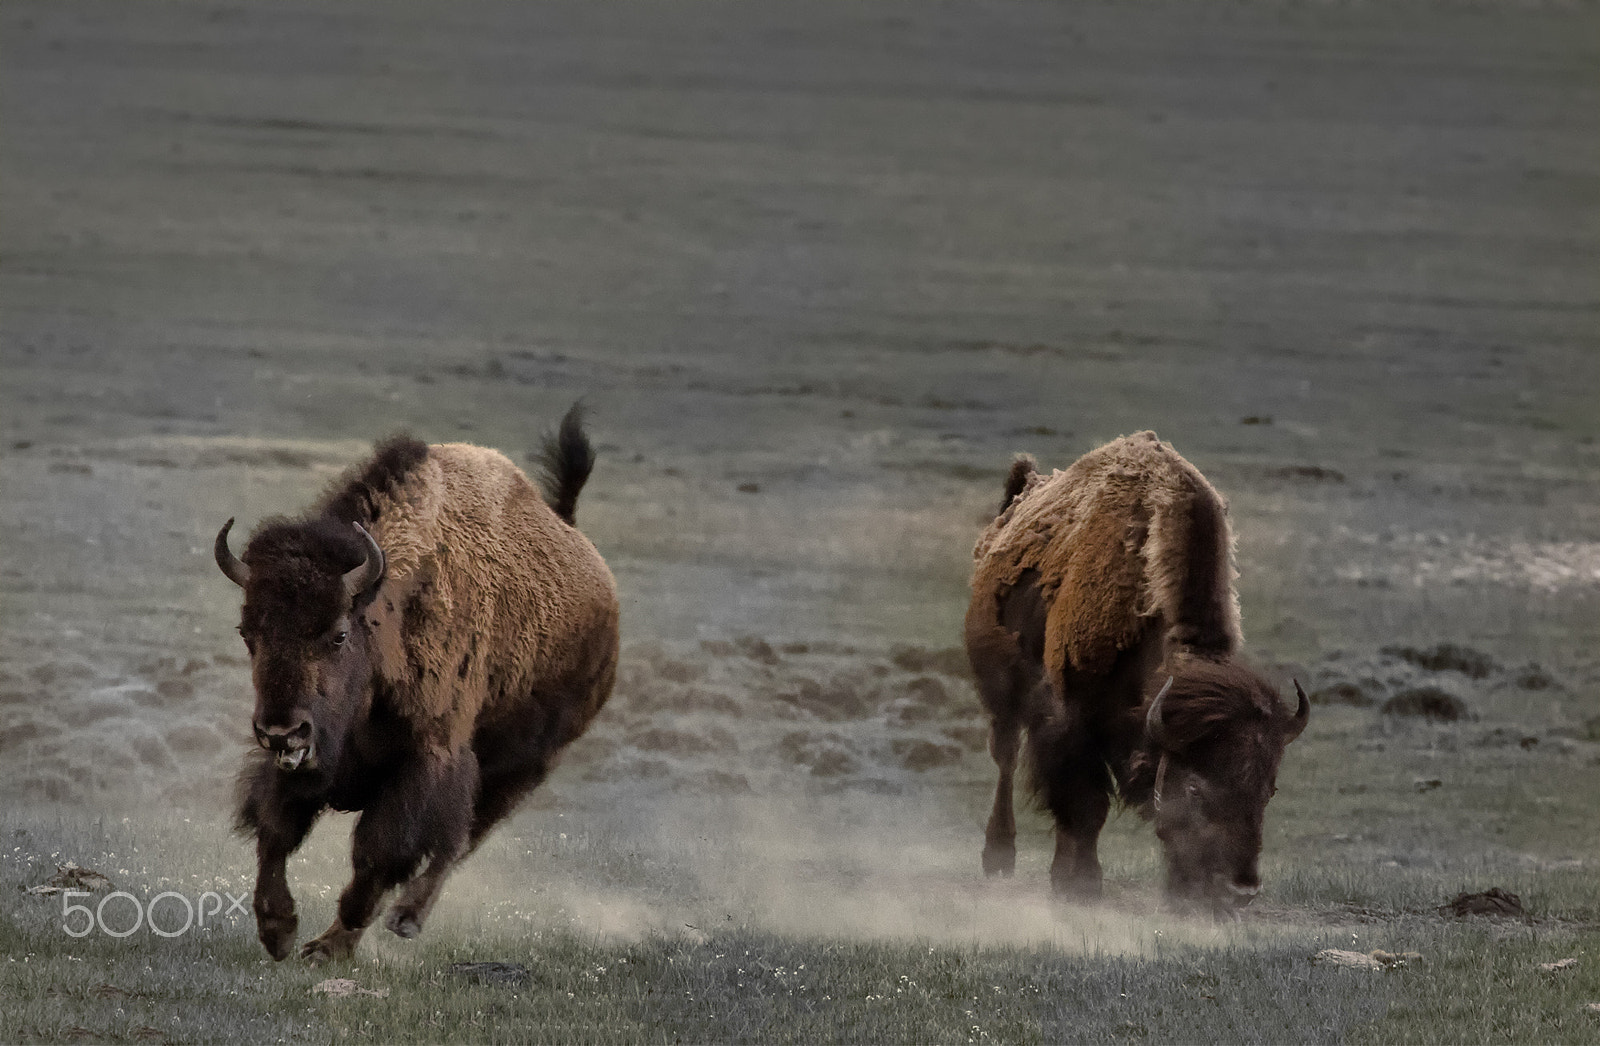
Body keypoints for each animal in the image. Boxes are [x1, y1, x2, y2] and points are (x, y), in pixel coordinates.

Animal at [215, 405, 618, 961]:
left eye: (339, 633)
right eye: (247, 632)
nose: (281, 732)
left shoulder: (427, 759)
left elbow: (379, 852)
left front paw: (330, 943)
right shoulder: (308, 763)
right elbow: (276, 828)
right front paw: (278, 931)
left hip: (523, 766)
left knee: (458, 843)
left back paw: (404, 919)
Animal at [964, 431, 1307, 916]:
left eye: (1268, 789)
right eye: (1195, 789)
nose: (1239, 891)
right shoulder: (1069, 720)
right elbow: (1085, 806)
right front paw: (1080, 885)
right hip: (1000, 693)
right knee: (1006, 759)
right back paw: (998, 857)